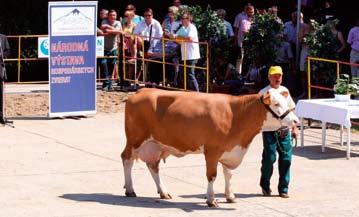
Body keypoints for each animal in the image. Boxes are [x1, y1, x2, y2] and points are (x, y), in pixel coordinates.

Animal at [121, 87, 298, 207]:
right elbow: (212, 175)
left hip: (155, 144)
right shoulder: (212, 150)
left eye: (288, 103)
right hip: (135, 140)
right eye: (276, 104)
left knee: (153, 166)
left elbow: (229, 174)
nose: (296, 121)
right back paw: (130, 190)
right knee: (126, 159)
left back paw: (163, 192)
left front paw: (230, 196)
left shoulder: (230, 150)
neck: (237, 115)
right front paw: (211, 200)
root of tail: (141, 91)